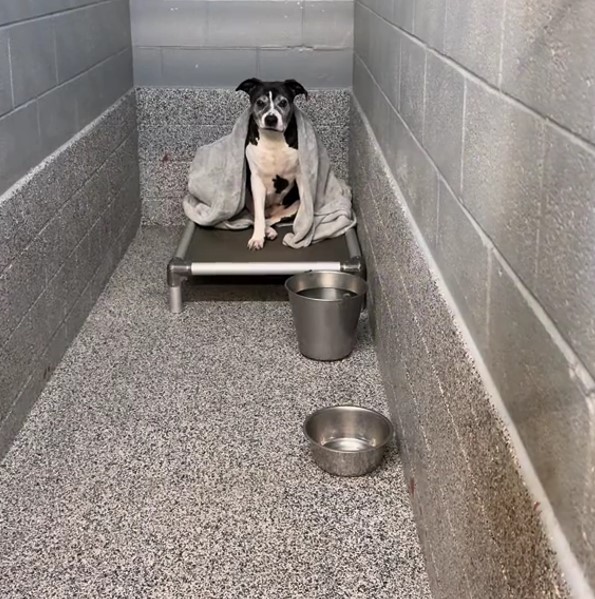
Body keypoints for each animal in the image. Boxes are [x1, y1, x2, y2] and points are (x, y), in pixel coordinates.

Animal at [234, 78, 308, 251]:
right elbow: (258, 217)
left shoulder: (300, 176)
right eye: (260, 102)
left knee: (274, 218)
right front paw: (257, 238)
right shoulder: (256, 181)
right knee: (258, 216)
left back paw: (270, 230)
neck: (273, 138)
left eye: (283, 102)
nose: (271, 119)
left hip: (293, 204)